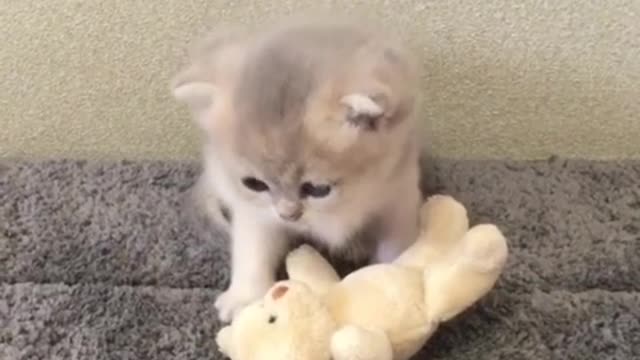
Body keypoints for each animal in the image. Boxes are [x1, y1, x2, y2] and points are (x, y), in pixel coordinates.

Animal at [169, 16, 424, 322]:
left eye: (318, 189)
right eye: (255, 184)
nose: (288, 215)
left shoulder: (398, 190)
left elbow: (397, 243)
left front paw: (395, 281)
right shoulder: (254, 209)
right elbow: (253, 247)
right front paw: (244, 297)